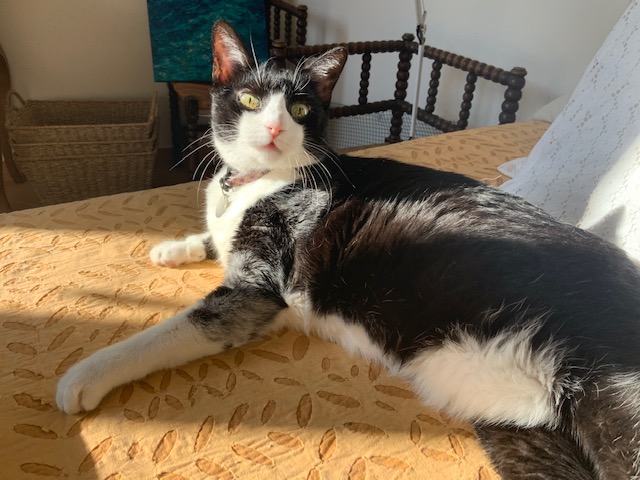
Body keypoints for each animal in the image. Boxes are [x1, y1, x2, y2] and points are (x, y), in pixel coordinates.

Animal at [57, 20, 640, 479]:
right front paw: (173, 248)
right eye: (248, 100)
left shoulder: (257, 289)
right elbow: (213, 236)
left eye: (298, 107)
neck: (256, 182)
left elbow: (174, 328)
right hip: (521, 425)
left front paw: (84, 376)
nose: (274, 127)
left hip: (608, 391)